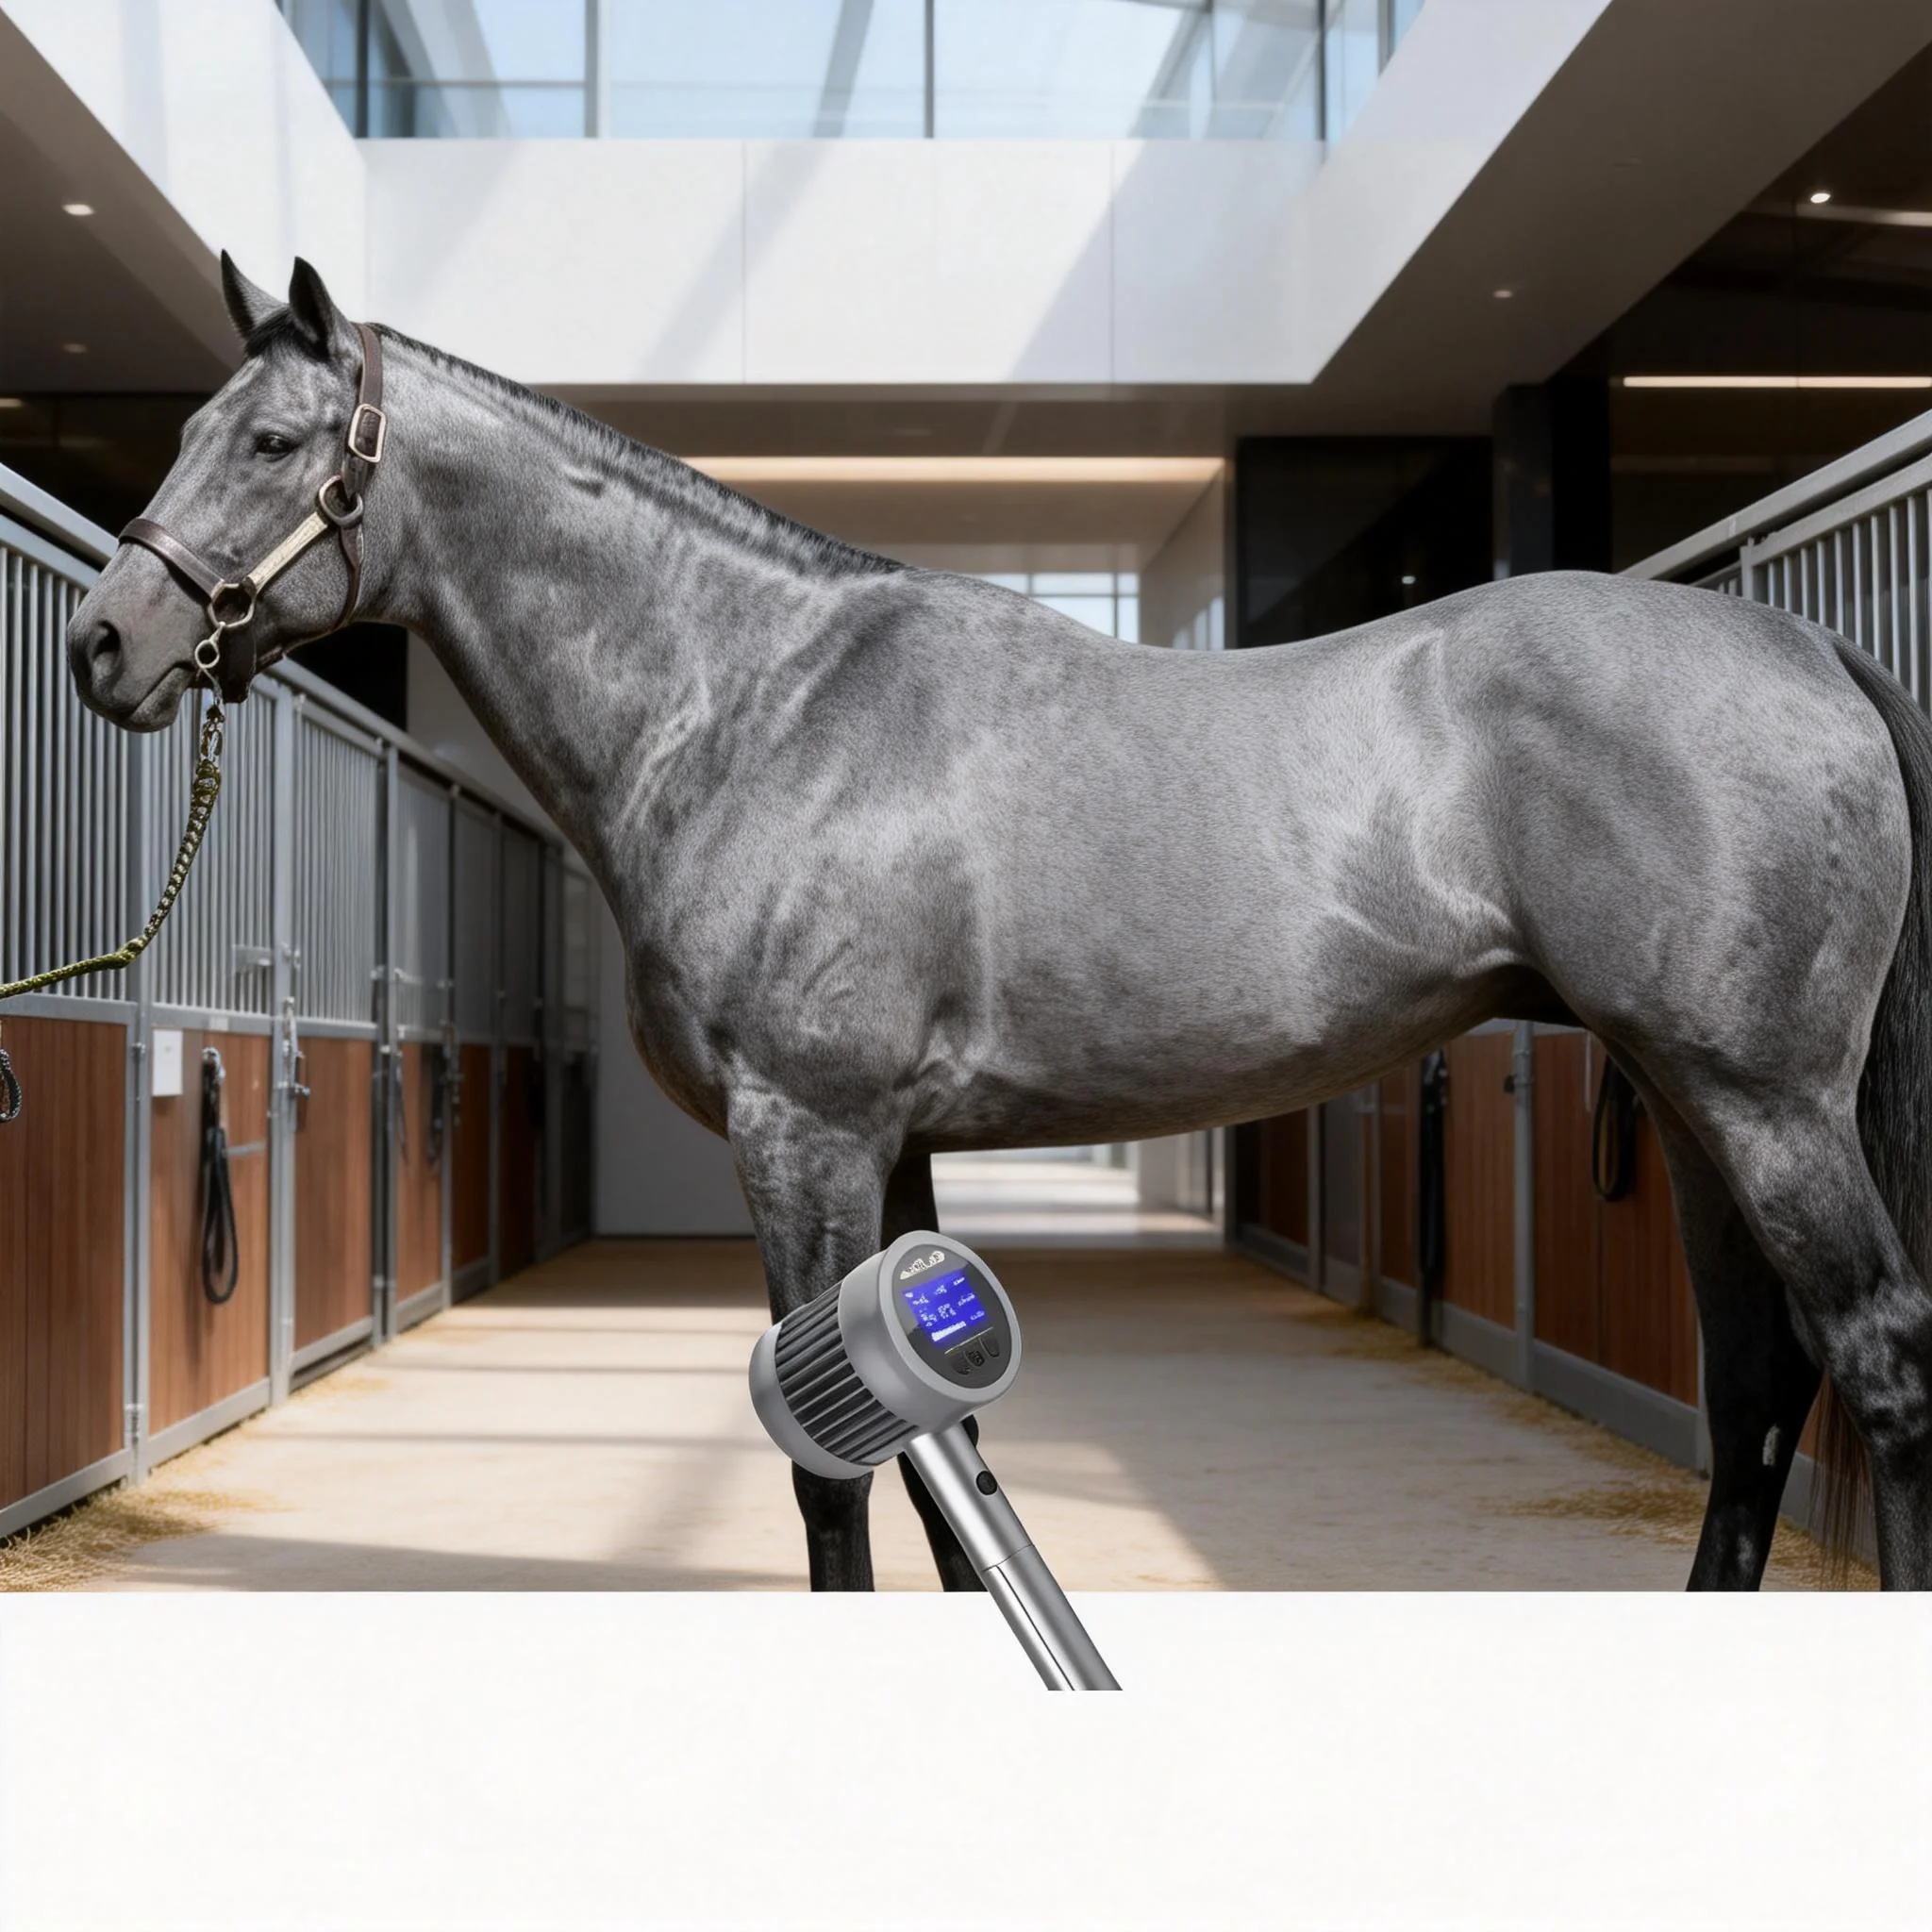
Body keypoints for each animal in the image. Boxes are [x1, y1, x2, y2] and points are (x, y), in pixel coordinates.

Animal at [65, 258, 1932, 1591]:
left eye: (270, 443)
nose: (104, 645)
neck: (753, 701)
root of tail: (1792, 642)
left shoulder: (803, 1134)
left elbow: (830, 1487)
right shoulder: (887, 1152)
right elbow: (936, 1477)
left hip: (1765, 1105)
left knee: (1878, 1361)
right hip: (1687, 1104)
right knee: (1757, 1391)